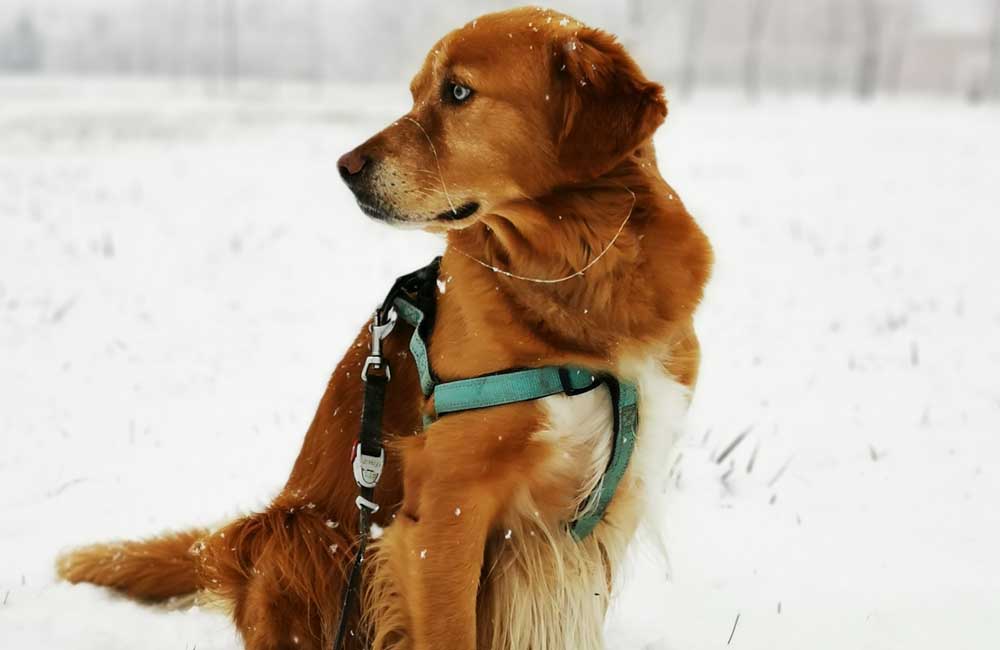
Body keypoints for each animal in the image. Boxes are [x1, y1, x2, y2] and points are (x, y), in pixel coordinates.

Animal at [56, 6, 712, 648]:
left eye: (457, 91)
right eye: (417, 93)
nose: (344, 168)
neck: (579, 278)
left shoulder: (606, 504)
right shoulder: (448, 506)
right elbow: (448, 632)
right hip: (302, 534)